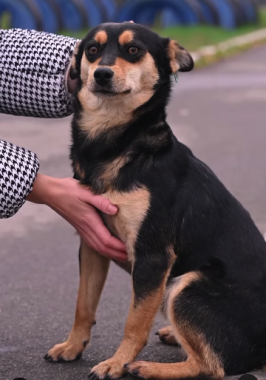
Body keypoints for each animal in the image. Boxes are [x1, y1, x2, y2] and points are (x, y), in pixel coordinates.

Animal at [44, 22, 266, 378]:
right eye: (92, 50)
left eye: (133, 50)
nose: (102, 74)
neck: (116, 143)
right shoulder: (92, 242)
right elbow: (83, 304)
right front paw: (72, 345)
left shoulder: (153, 256)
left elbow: (135, 322)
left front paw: (118, 362)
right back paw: (172, 336)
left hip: (184, 284)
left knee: (210, 365)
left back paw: (148, 368)